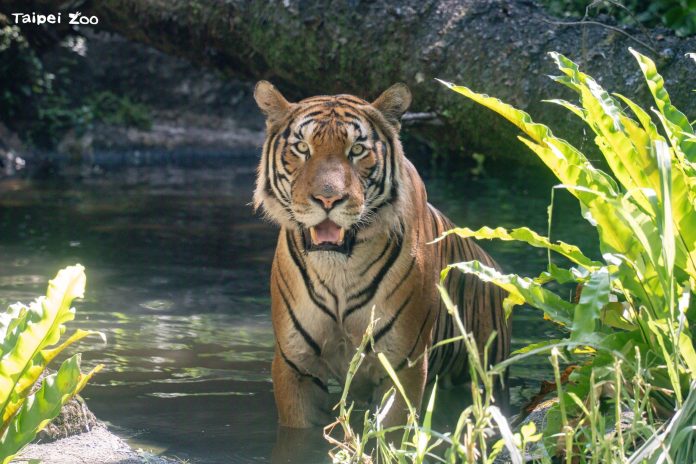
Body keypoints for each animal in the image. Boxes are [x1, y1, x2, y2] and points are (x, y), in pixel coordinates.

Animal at [253, 81, 511, 428]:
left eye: (357, 150)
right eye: (302, 148)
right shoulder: (296, 365)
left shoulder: (402, 365)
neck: (338, 269)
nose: (327, 199)